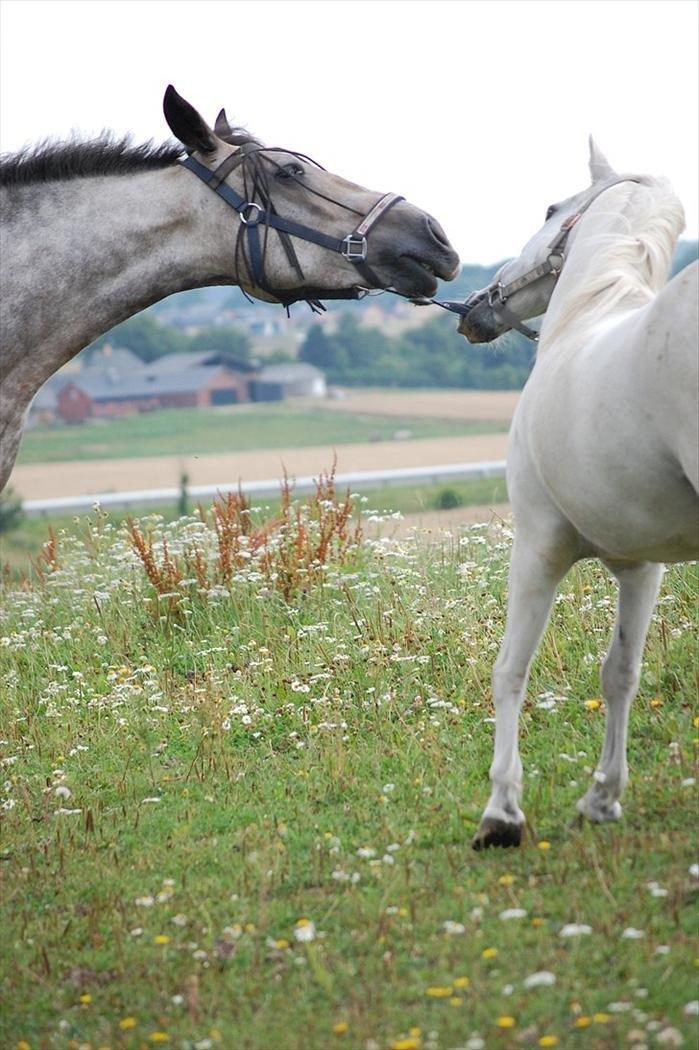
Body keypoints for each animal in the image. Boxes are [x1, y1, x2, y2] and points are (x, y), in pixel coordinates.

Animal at [459, 139, 692, 848]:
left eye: (549, 209)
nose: (476, 307)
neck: (591, 314)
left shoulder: (536, 549)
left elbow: (510, 670)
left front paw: (501, 812)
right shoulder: (641, 567)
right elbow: (620, 674)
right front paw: (603, 797)